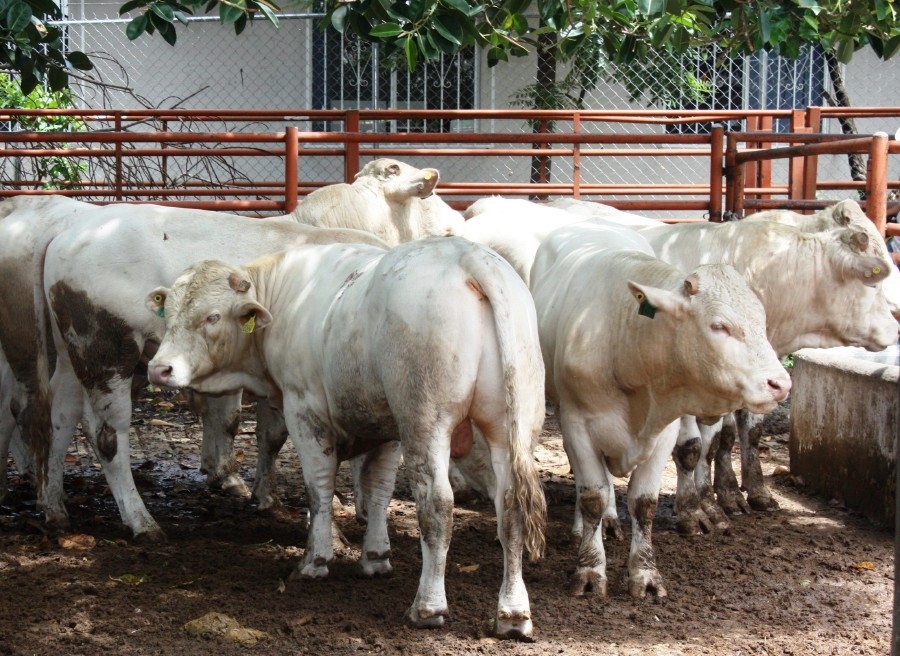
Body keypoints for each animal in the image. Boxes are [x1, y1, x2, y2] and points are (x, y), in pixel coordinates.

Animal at [145, 237, 547, 638]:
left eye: (212, 316)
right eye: (171, 312)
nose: (159, 369)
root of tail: (466, 255)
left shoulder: (305, 410)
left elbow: (319, 487)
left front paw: (315, 559)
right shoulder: (388, 427)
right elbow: (379, 489)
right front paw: (375, 557)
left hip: (425, 420)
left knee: (436, 506)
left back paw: (428, 606)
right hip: (511, 424)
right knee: (510, 505)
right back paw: (513, 613)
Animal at [528, 220, 790, 599]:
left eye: (761, 321)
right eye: (718, 326)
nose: (780, 383)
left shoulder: (663, 431)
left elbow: (644, 503)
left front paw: (644, 574)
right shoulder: (578, 424)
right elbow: (592, 495)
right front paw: (590, 569)